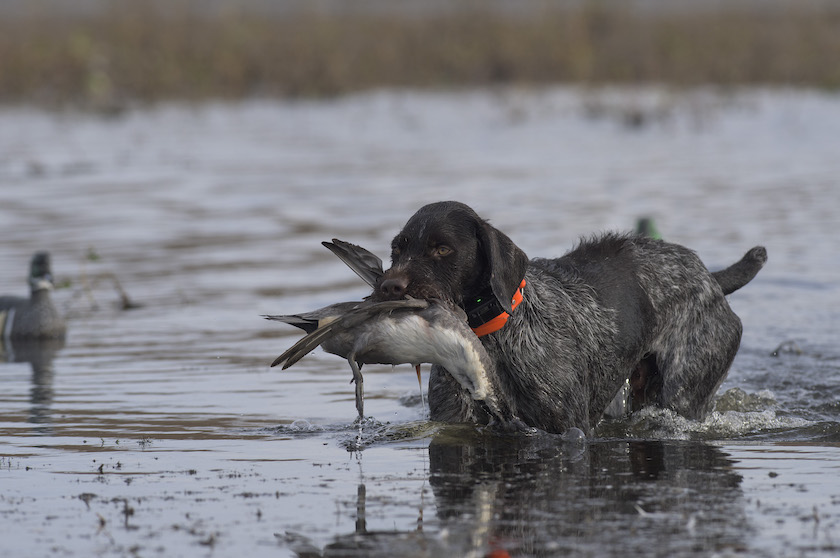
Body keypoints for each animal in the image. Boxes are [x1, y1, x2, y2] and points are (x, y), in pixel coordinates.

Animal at [374, 202, 768, 438]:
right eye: (397, 249)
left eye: (442, 249)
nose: (389, 286)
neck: (489, 342)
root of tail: (710, 278)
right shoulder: (456, 423)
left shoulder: (567, 430)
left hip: (684, 394)